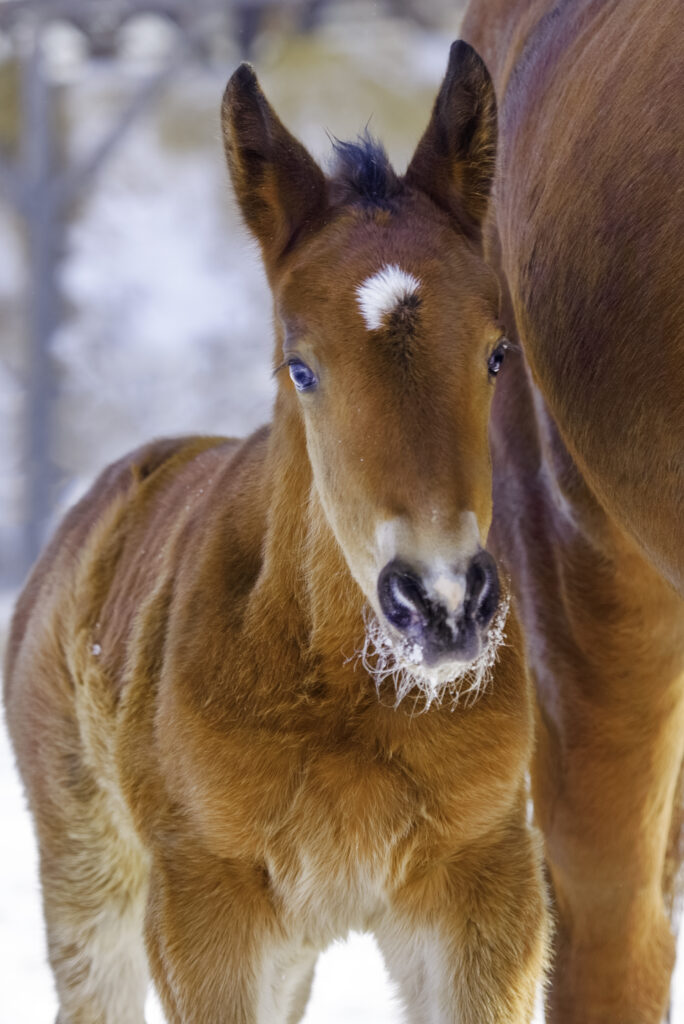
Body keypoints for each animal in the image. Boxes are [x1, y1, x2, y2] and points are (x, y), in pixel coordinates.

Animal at [2, 46, 548, 1024]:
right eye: (300, 367)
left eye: (496, 354)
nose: (443, 602)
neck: (345, 691)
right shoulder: (205, 909)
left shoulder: (486, 885)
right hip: (90, 887)